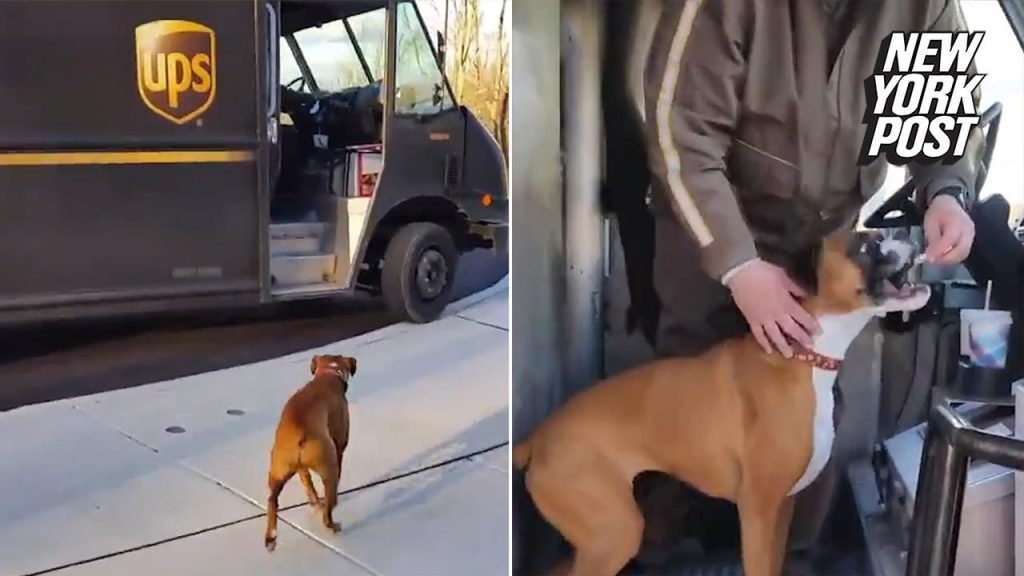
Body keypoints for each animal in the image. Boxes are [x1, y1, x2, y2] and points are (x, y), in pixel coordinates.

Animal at [264, 352, 356, 549]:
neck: (328, 374)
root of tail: (300, 434)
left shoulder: (302, 470)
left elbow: (308, 485)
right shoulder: (339, 446)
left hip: (278, 471)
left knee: (272, 501)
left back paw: (270, 538)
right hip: (329, 465)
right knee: (327, 509)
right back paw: (332, 523)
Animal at [516, 229, 933, 573]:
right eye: (866, 244)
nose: (907, 231)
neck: (803, 356)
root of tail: (537, 439)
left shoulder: (783, 507)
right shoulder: (757, 511)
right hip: (614, 533)